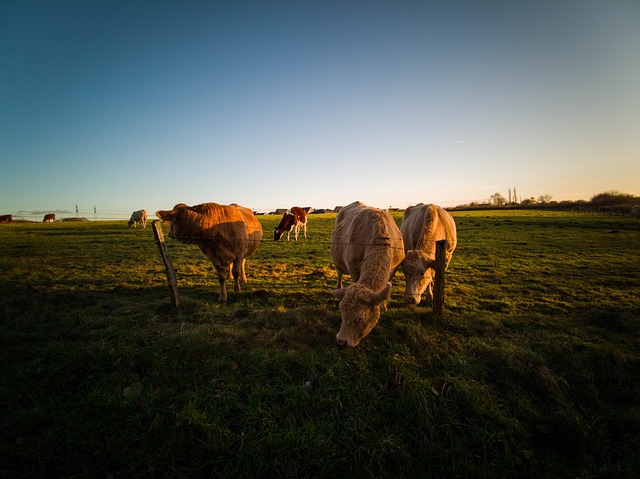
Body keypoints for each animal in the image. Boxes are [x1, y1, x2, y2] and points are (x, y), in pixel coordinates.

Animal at [330, 202, 404, 348]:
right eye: (341, 312)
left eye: (359, 319)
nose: (341, 341)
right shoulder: (353, 268)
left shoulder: (394, 268)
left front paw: (384, 306)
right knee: (339, 273)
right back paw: (338, 287)